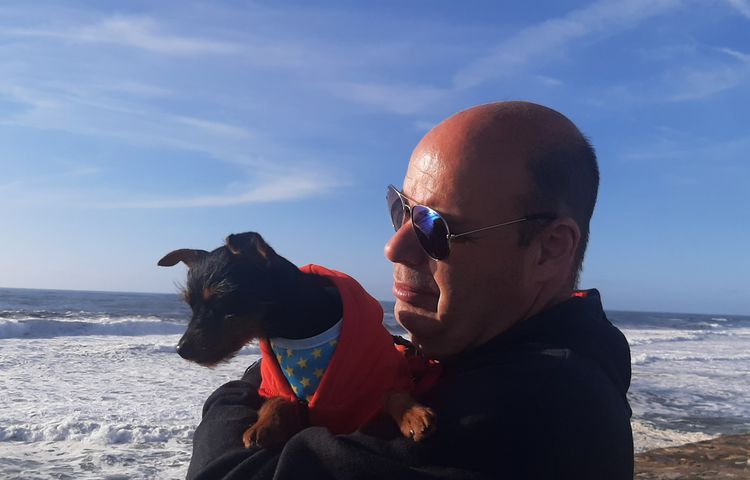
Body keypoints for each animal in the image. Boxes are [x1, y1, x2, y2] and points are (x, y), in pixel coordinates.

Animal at [158, 232, 435, 450]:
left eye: (221, 299)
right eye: (190, 305)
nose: (180, 349)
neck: (299, 330)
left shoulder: (380, 376)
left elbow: (393, 392)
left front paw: (413, 414)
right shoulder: (275, 384)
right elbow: (276, 400)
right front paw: (264, 424)